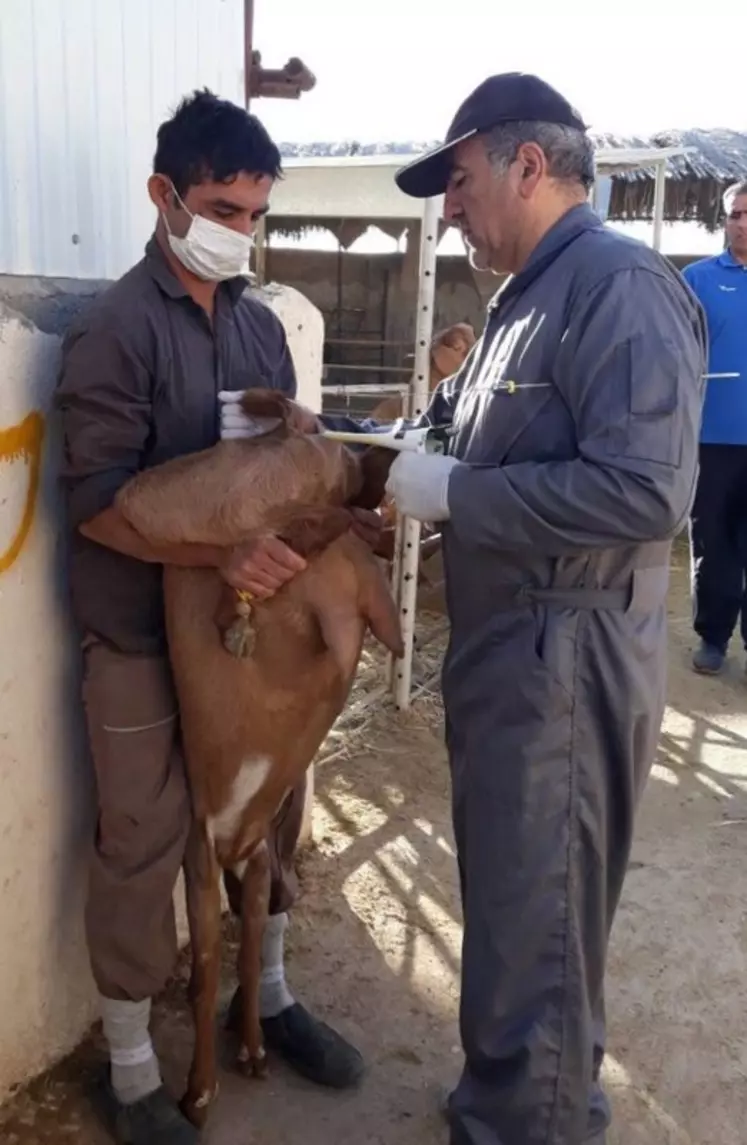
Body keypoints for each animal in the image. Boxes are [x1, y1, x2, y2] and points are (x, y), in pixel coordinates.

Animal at [117, 393, 405, 1126]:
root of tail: (235, 844)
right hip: (207, 858)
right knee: (215, 962)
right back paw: (206, 1085)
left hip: (247, 857)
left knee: (246, 941)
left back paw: (243, 1053)